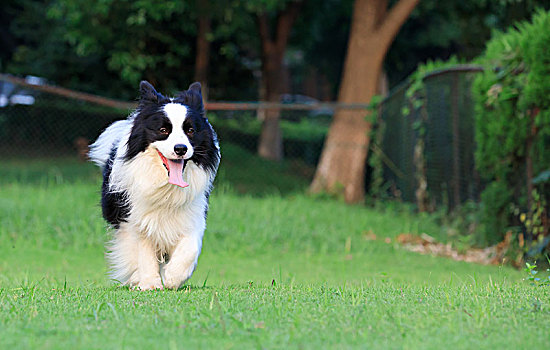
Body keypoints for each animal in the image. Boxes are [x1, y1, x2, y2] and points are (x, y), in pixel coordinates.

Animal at [90, 81, 220, 290]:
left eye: (190, 131)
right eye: (163, 130)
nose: (181, 149)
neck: (165, 187)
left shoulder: (193, 213)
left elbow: (190, 247)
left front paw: (173, 276)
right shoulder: (135, 217)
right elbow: (144, 250)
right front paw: (150, 283)